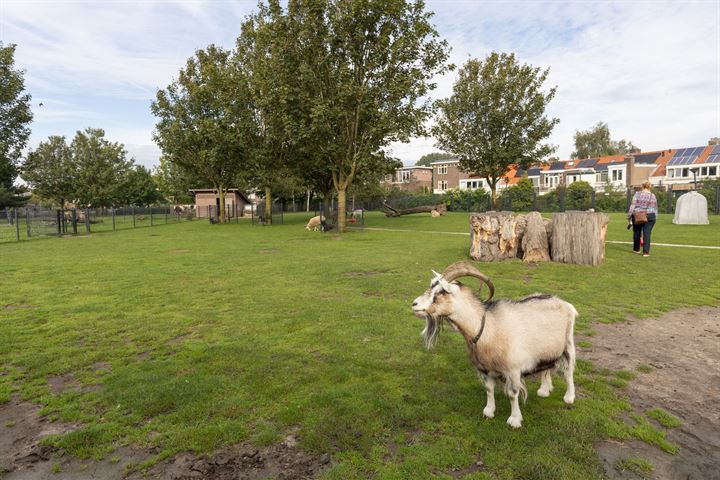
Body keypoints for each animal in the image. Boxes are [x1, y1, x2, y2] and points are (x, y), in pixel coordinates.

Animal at [410, 262, 580, 428]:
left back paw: (569, 397)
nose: (414, 304)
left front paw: (514, 420)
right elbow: (489, 389)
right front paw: (489, 411)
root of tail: (564, 303)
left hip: (568, 344)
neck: (485, 327)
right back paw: (544, 390)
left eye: (442, 291)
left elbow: (512, 394)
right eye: (431, 285)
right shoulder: (485, 369)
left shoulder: (513, 370)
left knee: (569, 371)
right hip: (546, 350)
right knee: (546, 368)